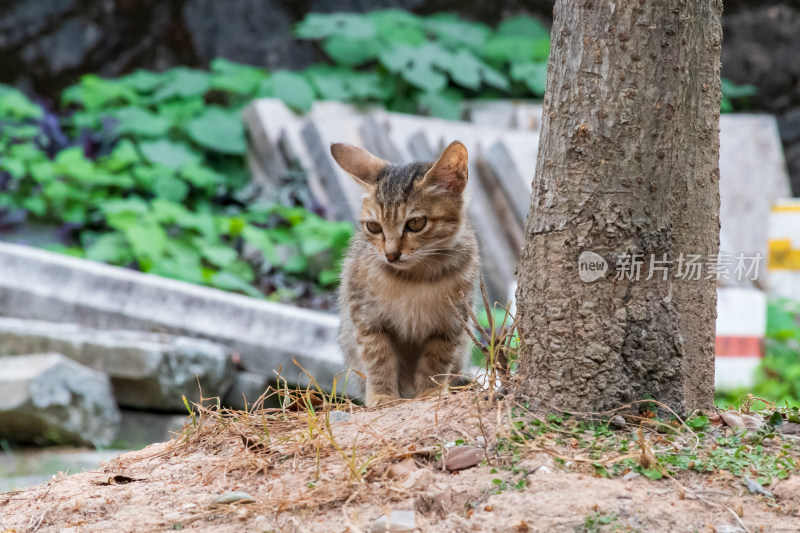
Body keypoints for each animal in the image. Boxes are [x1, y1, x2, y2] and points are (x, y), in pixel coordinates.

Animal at [330, 139, 478, 406]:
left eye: (416, 223)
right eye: (374, 227)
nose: (390, 255)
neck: (415, 277)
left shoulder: (452, 321)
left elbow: (437, 359)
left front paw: (431, 392)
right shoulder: (366, 316)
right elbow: (378, 358)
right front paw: (382, 395)